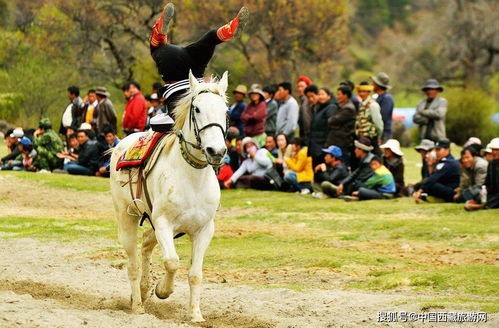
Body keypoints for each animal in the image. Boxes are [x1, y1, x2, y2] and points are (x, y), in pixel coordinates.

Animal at [109, 70, 229, 322]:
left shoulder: (204, 229)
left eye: (225, 111)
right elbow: (172, 262)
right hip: (127, 218)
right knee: (133, 263)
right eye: (197, 109)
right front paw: (163, 290)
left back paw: (144, 289)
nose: (216, 151)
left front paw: (195, 315)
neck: (192, 178)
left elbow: (195, 274)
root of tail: (122, 143)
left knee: (146, 243)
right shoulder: (163, 223)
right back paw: (138, 305)